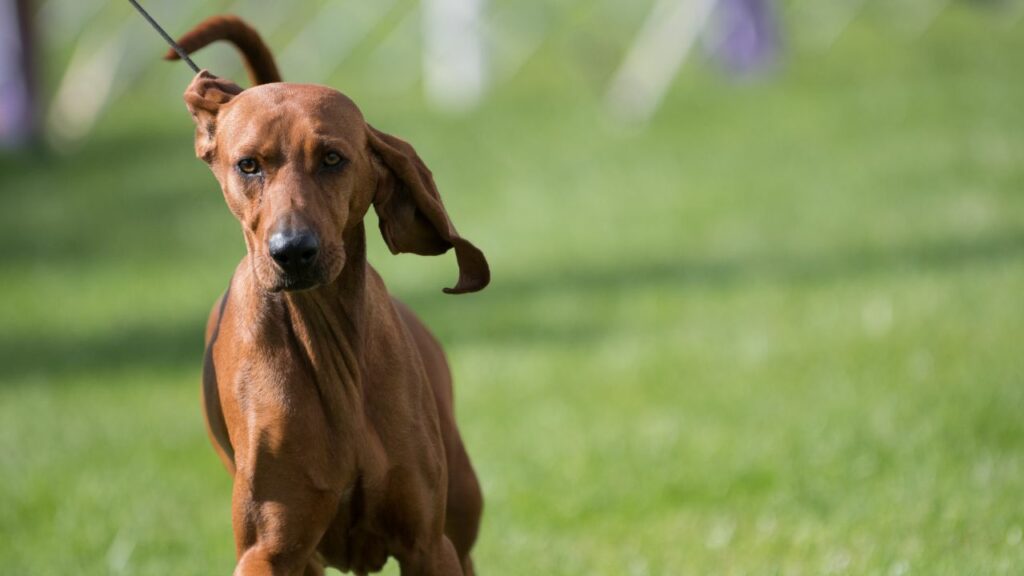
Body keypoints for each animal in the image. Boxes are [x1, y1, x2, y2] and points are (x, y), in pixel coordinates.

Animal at [165, 14, 489, 573]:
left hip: (462, 511)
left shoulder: (428, 545)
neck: (329, 349)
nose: (292, 251)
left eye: (333, 158)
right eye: (248, 165)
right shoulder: (267, 550)